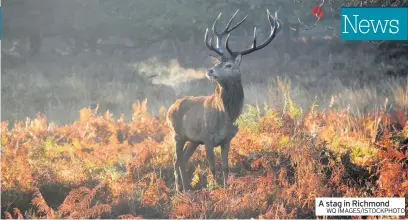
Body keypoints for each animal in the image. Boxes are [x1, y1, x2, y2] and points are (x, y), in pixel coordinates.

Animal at [166, 8, 280, 192]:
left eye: (228, 65)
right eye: (218, 63)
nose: (209, 70)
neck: (226, 116)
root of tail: (171, 106)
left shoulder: (227, 139)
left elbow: (226, 167)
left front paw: (227, 189)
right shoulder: (207, 138)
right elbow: (212, 167)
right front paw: (216, 189)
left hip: (192, 140)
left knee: (182, 160)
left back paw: (187, 190)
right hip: (176, 134)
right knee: (176, 161)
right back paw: (178, 190)